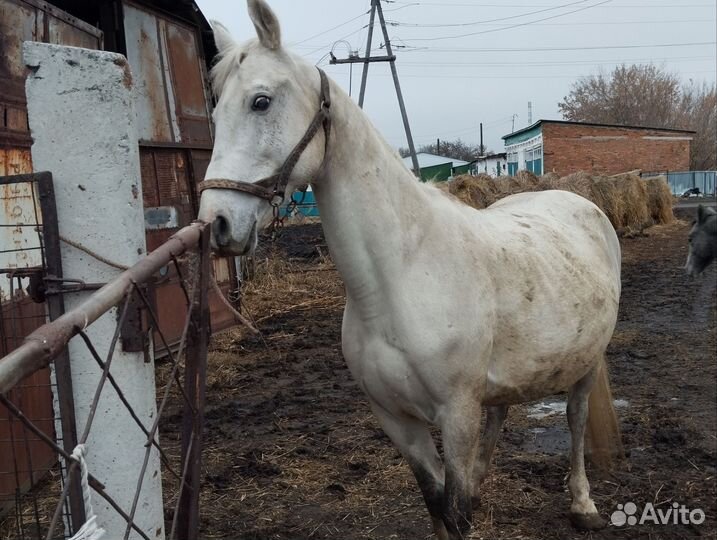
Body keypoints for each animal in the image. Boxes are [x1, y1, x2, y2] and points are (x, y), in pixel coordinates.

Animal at [197, 2, 622, 538]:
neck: (400, 277)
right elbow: (436, 503)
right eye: (216, 112)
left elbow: (455, 511)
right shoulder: (397, 420)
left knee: (575, 418)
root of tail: (579, 201)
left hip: (585, 365)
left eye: (260, 102)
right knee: (501, 412)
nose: (217, 222)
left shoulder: (456, 414)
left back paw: (582, 503)